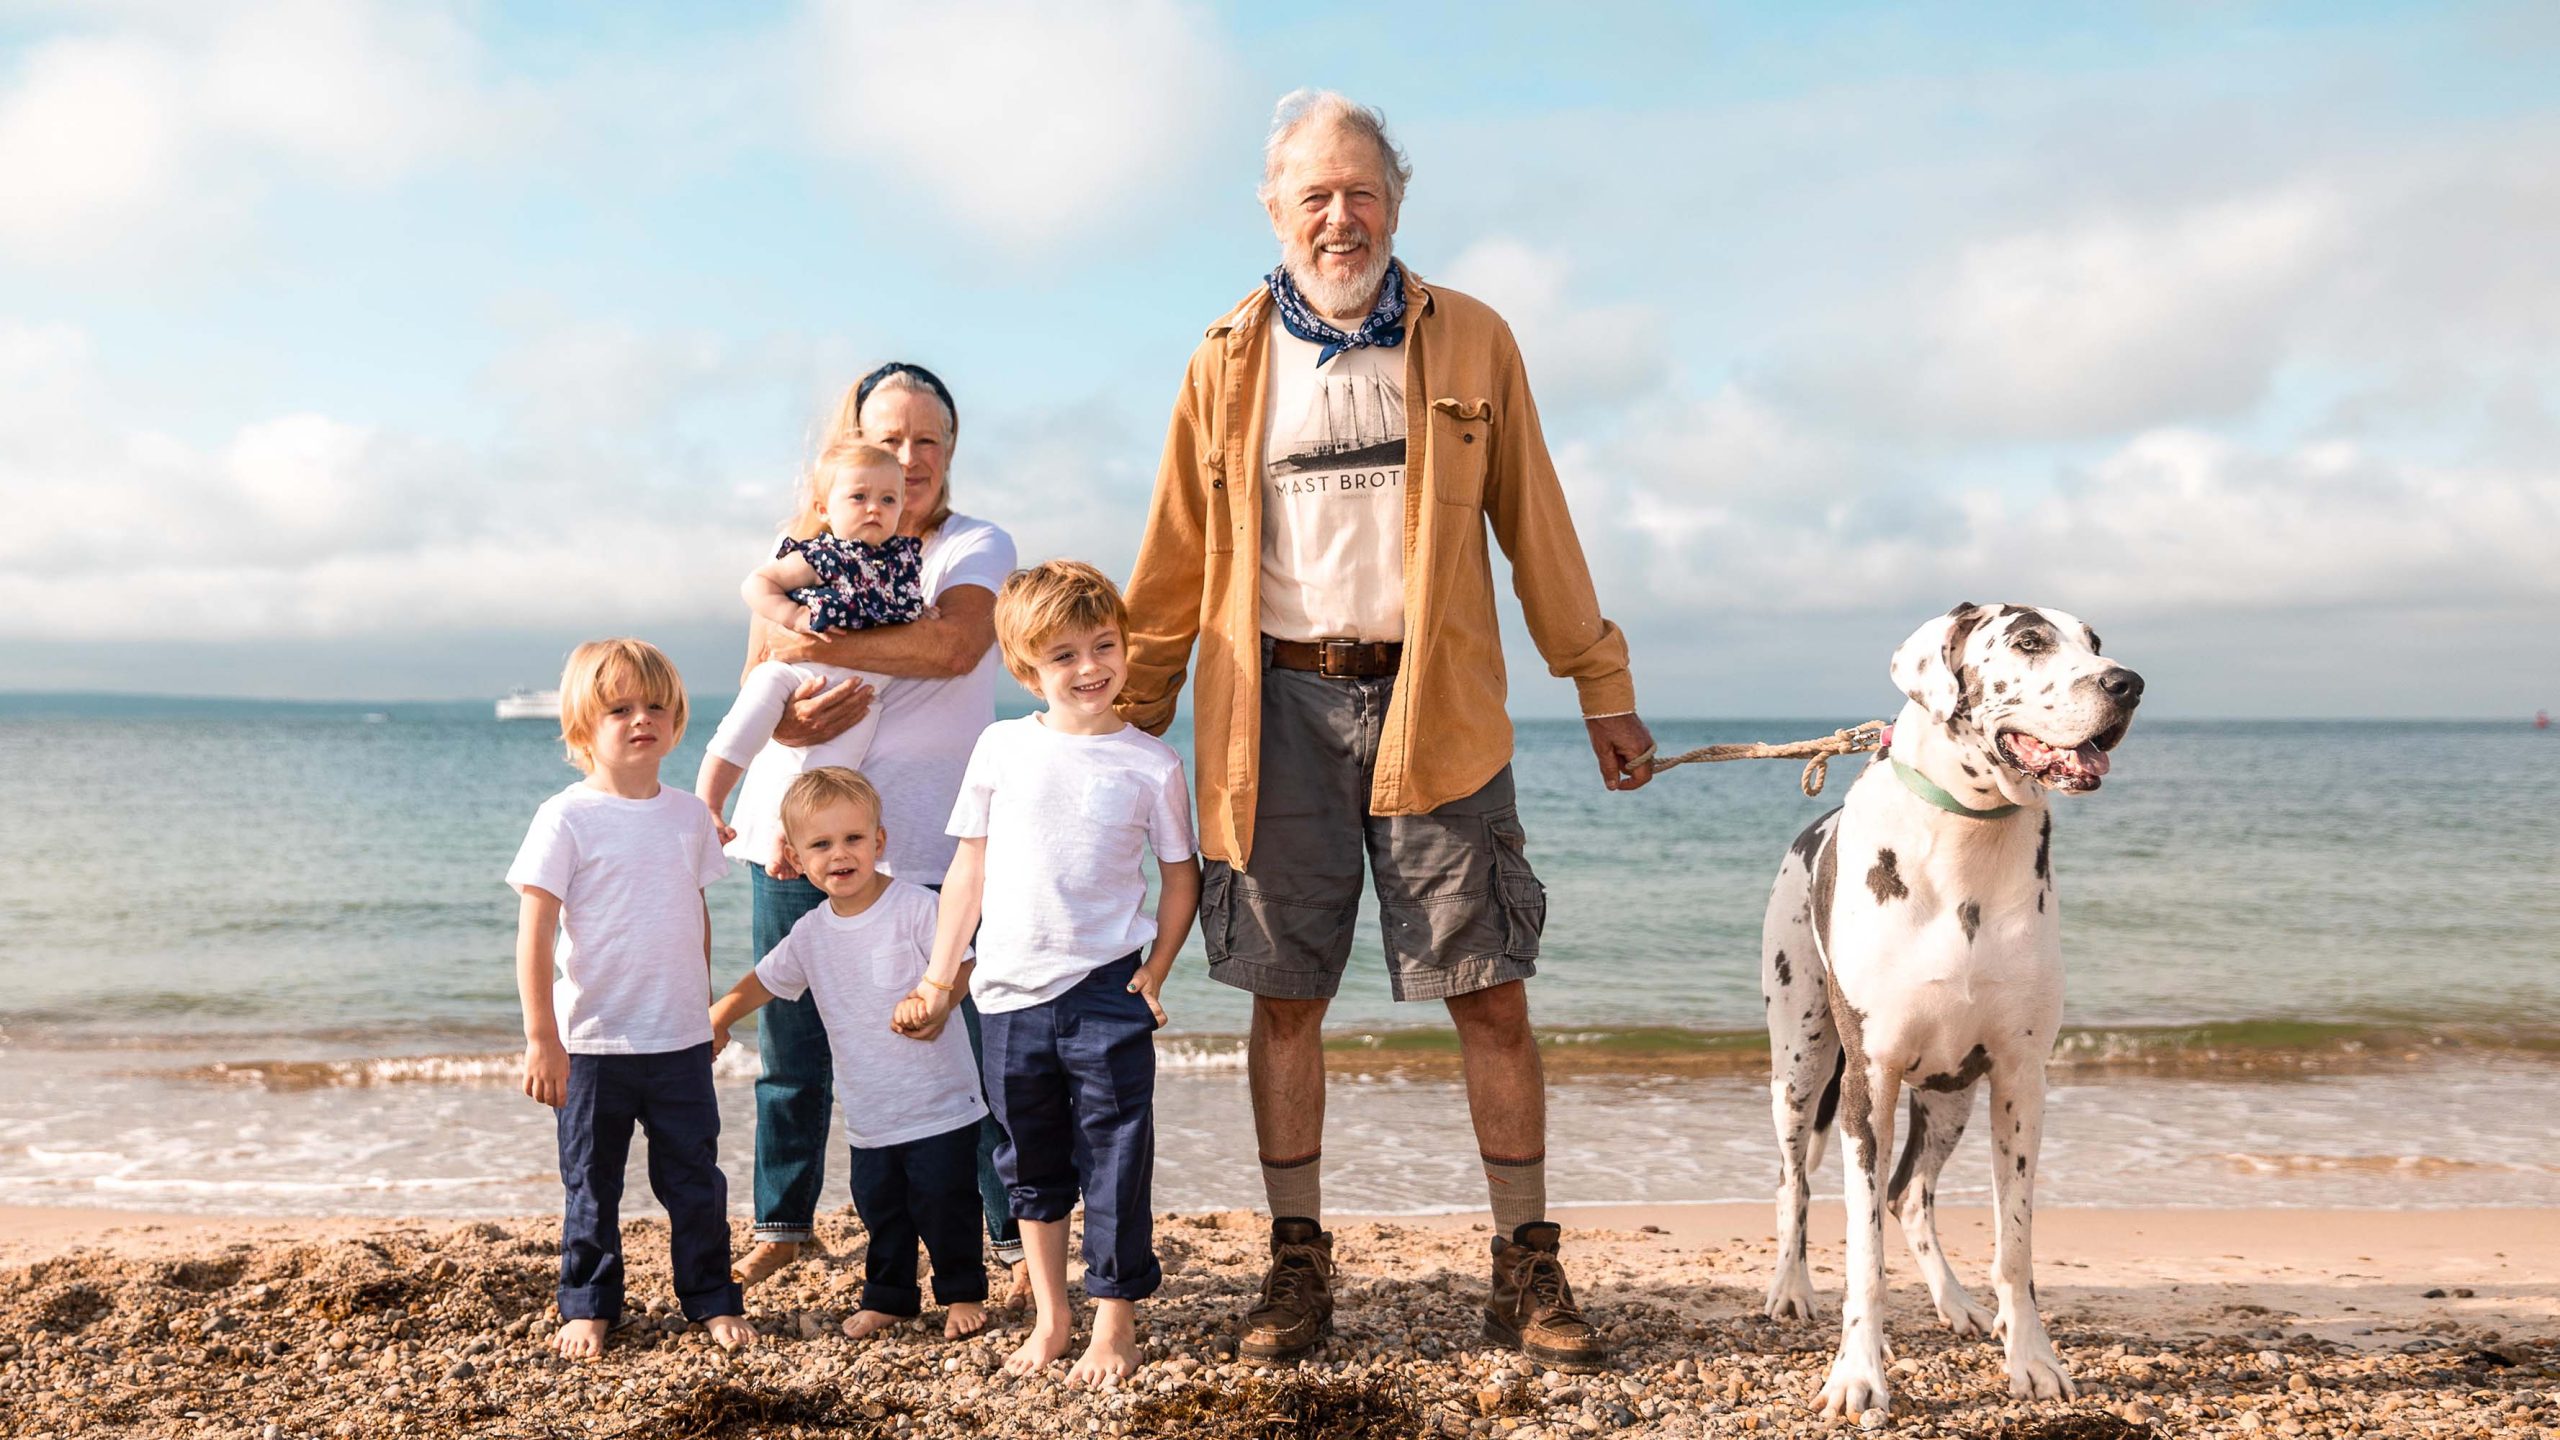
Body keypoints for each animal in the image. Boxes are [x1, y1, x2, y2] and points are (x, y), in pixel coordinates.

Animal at [1761, 597, 2140, 1414]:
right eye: (2028, 641)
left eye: (2095, 641)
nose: (2127, 683)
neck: (1968, 841)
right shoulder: (1868, 1082)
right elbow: (1862, 1255)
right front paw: (1857, 1374)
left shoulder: (2019, 1079)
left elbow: (2016, 1244)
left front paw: (2031, 1356)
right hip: (1799, 1066)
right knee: (1793, 1181)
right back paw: (1790, 1287)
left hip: (1951, 1095)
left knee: (1910, 1194)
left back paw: (1959, 1303)